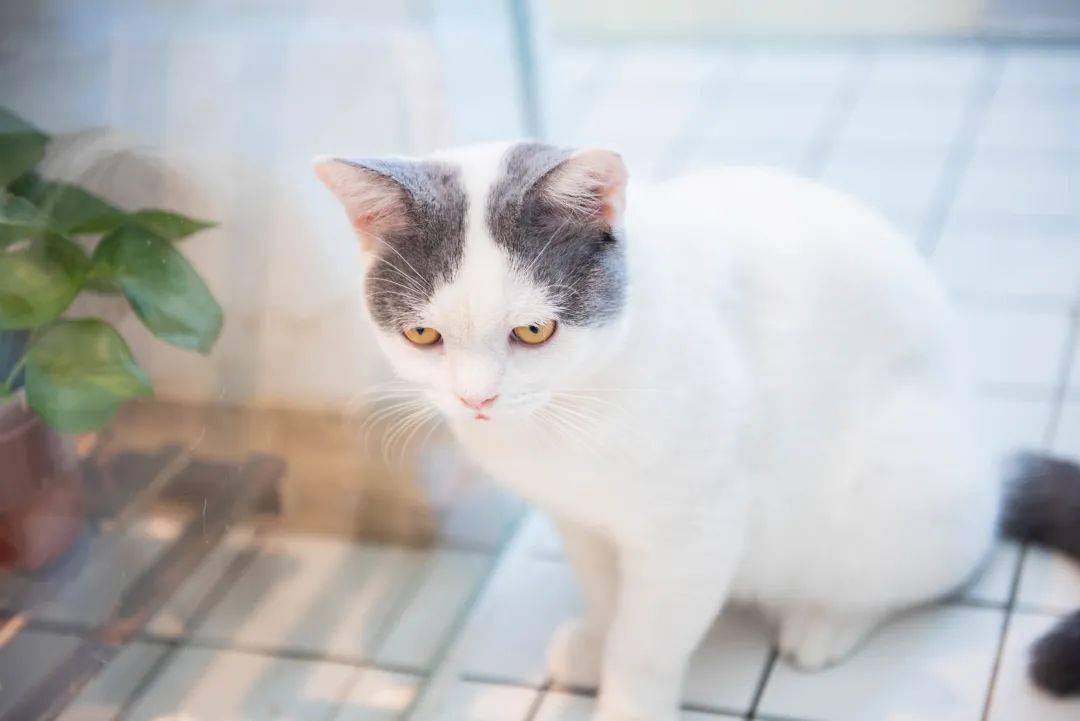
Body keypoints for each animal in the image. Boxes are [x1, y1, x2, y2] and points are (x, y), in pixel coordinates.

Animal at [315, 142, 1080, 721]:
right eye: (423, 335)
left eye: (534, 330)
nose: (476, 397)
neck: (565, 422)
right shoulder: (579, 518)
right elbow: (606, 591)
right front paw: (595, 639)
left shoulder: (694, 531)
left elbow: (646, 641)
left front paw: (627, 698)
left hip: (896, 480)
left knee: (923, 573)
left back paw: (825, 622)